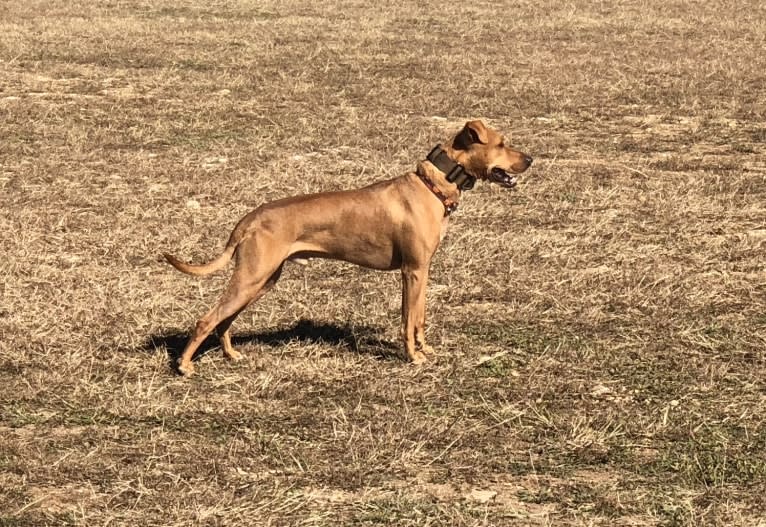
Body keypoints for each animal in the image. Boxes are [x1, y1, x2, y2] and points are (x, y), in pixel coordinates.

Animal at [164, 119, 536, 376]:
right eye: (502, 143)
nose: (531, 159)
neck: (432, 186)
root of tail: (250, 217)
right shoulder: (413, 271)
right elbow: (408, 319)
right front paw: (413, 357)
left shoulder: (424, 272)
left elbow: (419, 317)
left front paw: (425, 350)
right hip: (252, 277)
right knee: (206, 319)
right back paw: (184, 365)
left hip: (262, 280)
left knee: (223, 321)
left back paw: (230, 354)